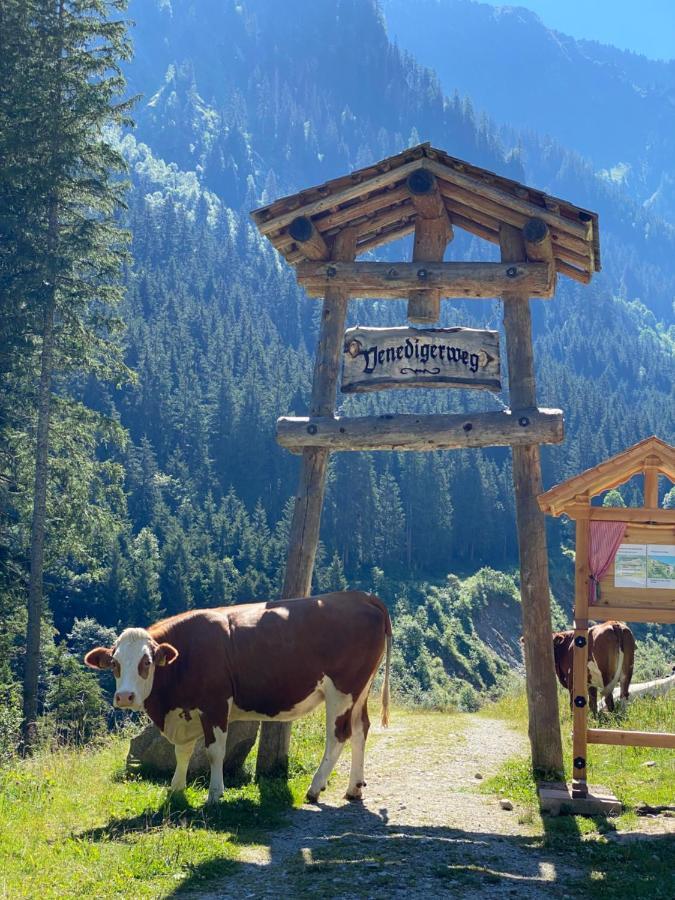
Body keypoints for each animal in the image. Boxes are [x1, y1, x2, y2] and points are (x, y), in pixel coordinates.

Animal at [86, 596, 390, 804]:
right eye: (114, 664)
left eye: (146, 662)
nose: (125, 696)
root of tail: (360, 596)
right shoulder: (186, 711)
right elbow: (182, 752)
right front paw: (176, 788)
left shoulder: (215, 703)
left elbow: (214, 751)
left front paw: (214, 794)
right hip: (360, 690)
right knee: (361, 729)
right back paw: (353, 788)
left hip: (342, 690)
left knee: (338, 735)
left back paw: (315, 788)